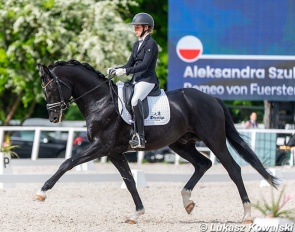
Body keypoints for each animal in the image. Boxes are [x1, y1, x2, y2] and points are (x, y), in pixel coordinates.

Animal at [34, 60, 278, 224]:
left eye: (52, 88)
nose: (53, 117)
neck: (101, 101)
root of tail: (211, 98)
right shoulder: (114, 152)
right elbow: (130, 181)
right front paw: (136, 213)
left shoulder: (101, 147)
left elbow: (68, 162)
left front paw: (42, 192)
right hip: (180, 144)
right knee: (203, 164)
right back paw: (187, 201)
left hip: (214, 140)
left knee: (233, 169)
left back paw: (247, 214)